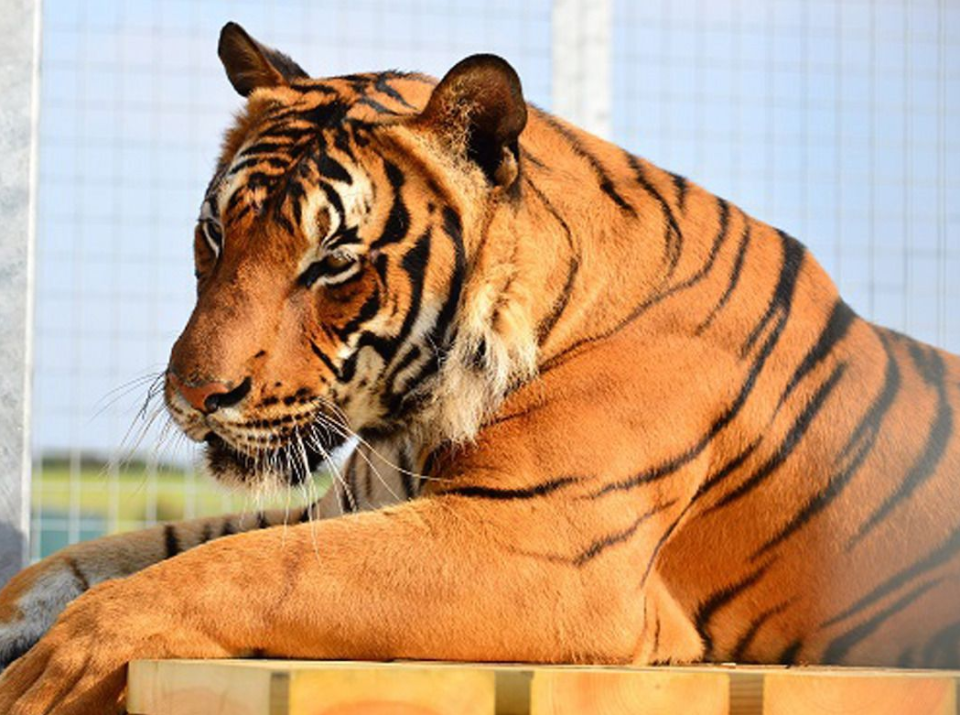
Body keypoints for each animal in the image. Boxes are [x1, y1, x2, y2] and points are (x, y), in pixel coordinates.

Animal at [1, 19, 960, 712]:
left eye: (333, 262)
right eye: (213, 231)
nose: (195, 394)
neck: (410, 416)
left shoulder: (539, 545)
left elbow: (257, 568)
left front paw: (60, 663)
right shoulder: (346, 503)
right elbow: (110, 554)